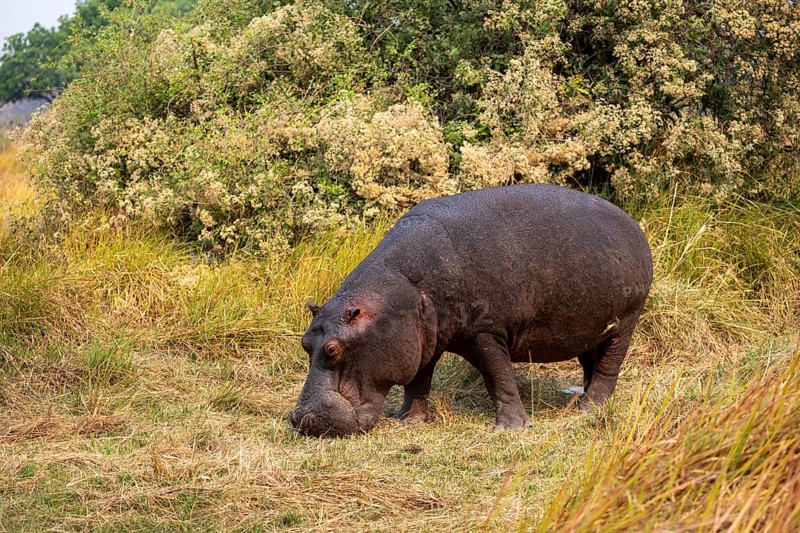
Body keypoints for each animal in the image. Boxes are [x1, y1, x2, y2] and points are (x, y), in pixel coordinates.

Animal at [290, 184, 653, 437]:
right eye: (305, 343)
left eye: (333, 349)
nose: (302, 419)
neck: (405, 287)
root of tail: (634, 225)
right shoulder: (423, 338)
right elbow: (418, 381)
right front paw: (408, 420)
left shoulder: (485, 332)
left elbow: (498, 377)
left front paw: (509, 428)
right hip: (589, 328)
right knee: (592, 361)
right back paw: (580, 400)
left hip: (627, 322)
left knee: (609, 367)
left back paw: (590, 409)